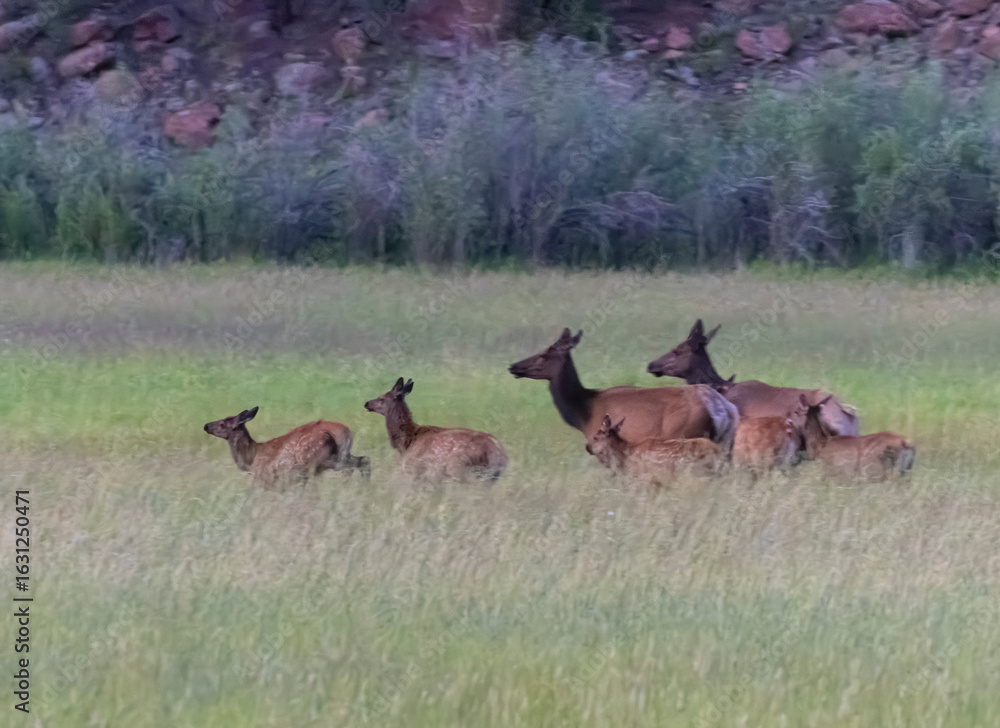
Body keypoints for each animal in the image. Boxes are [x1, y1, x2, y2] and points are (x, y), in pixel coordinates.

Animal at [203, 407, 370, 489]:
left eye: (222, 424)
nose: (206, 425)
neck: (251, 458)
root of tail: (343, 431)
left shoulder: (265, 477)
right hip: (342, 454)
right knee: (364, 459)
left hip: (318, 459)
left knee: (351, 467)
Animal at [364, 378, 507, 482]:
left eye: (381, 398)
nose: (366, 403)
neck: (407, 442)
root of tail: (499, 454)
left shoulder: (415, 468)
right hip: (489, 477)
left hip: (460, 469)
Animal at [587, 415, 722, 485]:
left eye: (595, 437)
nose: (587, 447)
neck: (626, 455)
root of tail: (716, 450)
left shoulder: (642, 477)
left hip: (697, 473)